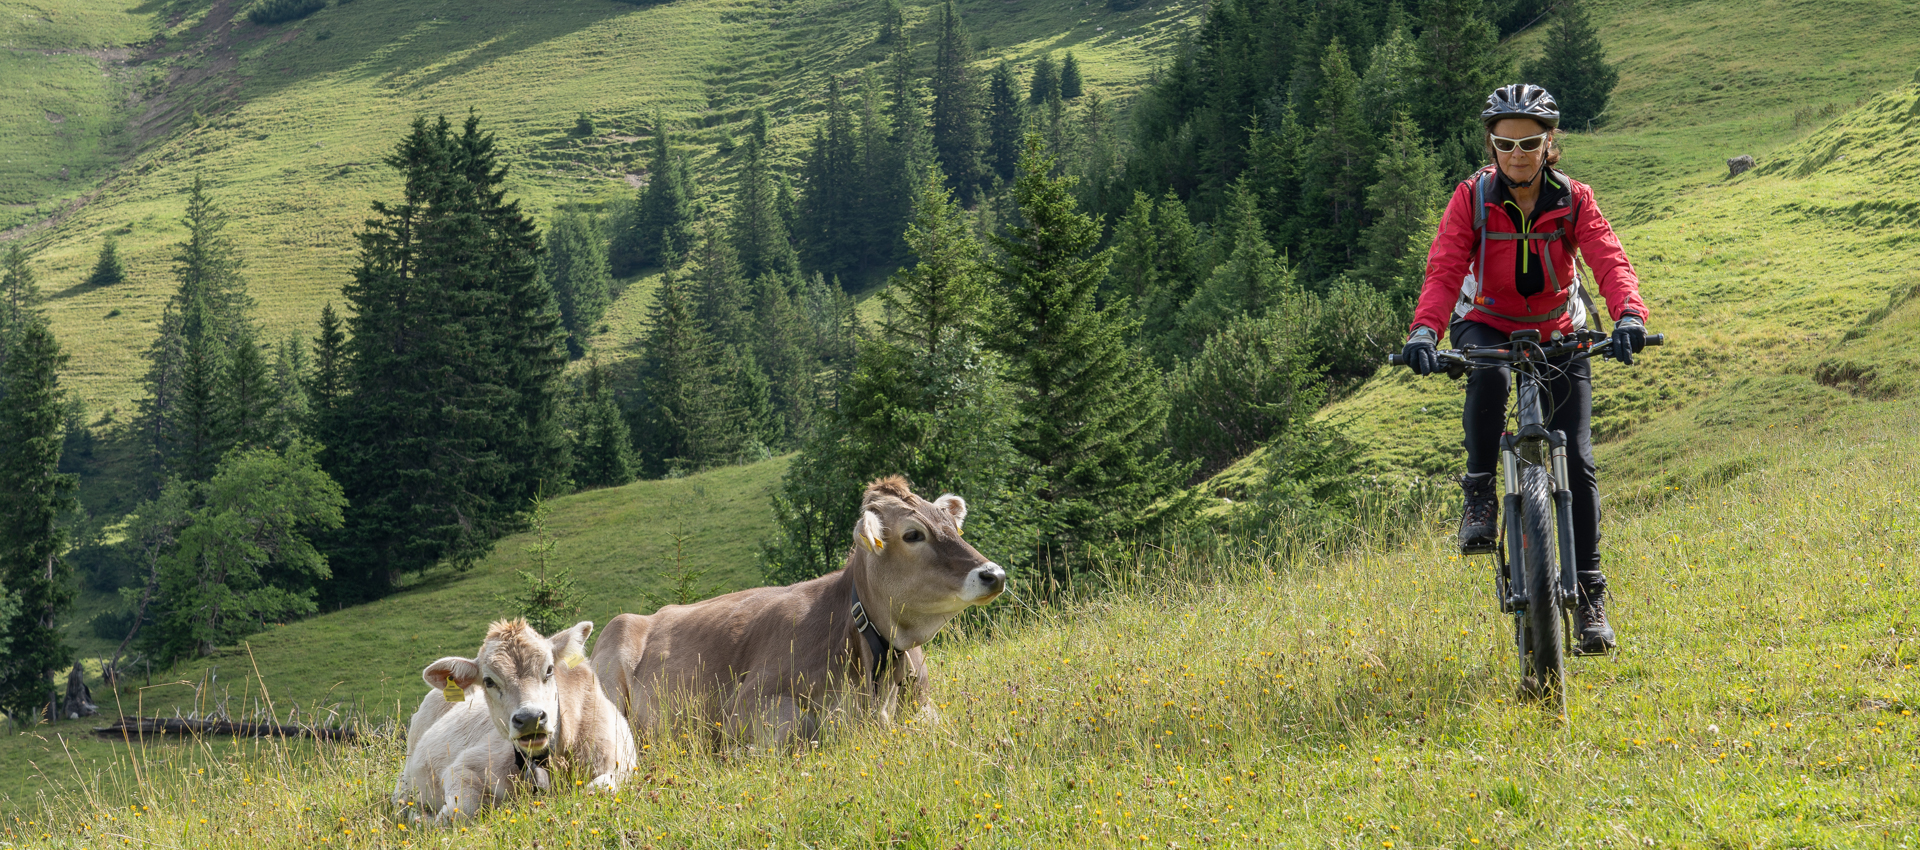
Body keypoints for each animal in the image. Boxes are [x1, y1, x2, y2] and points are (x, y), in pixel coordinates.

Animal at [395, 617, 637, 825]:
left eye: (549, 670)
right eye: (488, 681)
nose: (530, 718)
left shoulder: (623, 762)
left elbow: (598, 788)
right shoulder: (463, 766)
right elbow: (460, 811)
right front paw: (428, 819)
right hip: (406, 776)